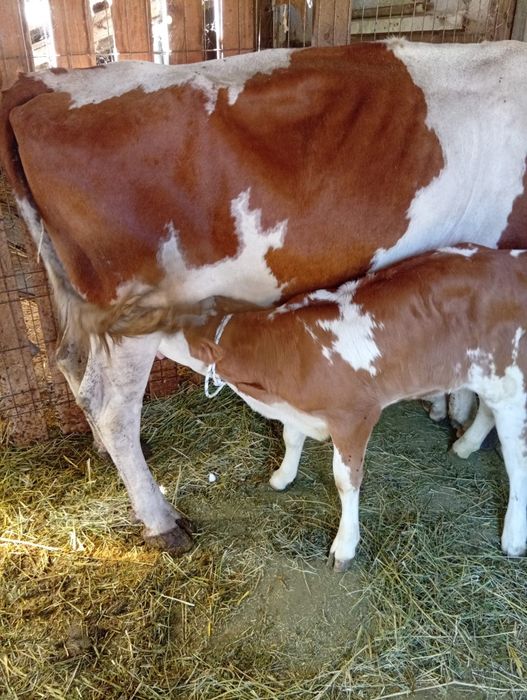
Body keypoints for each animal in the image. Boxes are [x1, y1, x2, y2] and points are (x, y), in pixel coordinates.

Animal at [181, 246, 527, 570]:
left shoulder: (354, 416)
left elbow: (345, 480)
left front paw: (345, 546)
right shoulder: (298, 407)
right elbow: (291, 438)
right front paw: (283, 476)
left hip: (512, 384)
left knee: (517, 461)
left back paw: (512, 538)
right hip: (491, 377)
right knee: (488, 411)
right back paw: (465, 446)